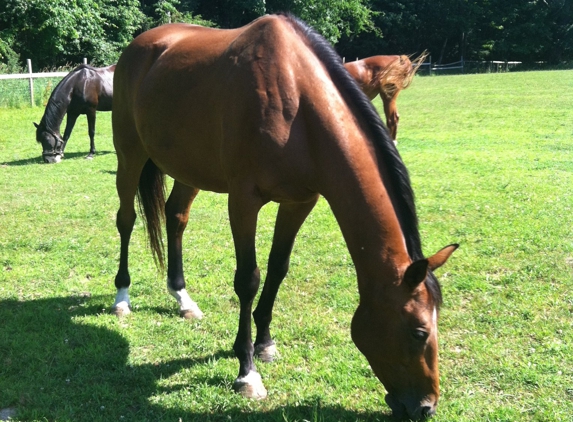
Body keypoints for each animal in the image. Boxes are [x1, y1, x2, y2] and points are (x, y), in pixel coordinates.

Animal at [110, 14, 456, 420]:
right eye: (419, 332)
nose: (426, 406)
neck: (298, 105)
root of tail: (141, 45)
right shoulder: (243, 201)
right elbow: (248, 280)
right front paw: (247, 372)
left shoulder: (299, 203)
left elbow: (278, 269)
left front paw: (265, 342)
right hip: (129, 154)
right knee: (126, 219)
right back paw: (122, 297)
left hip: (188, 168)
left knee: (176, 216)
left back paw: (183, 299)